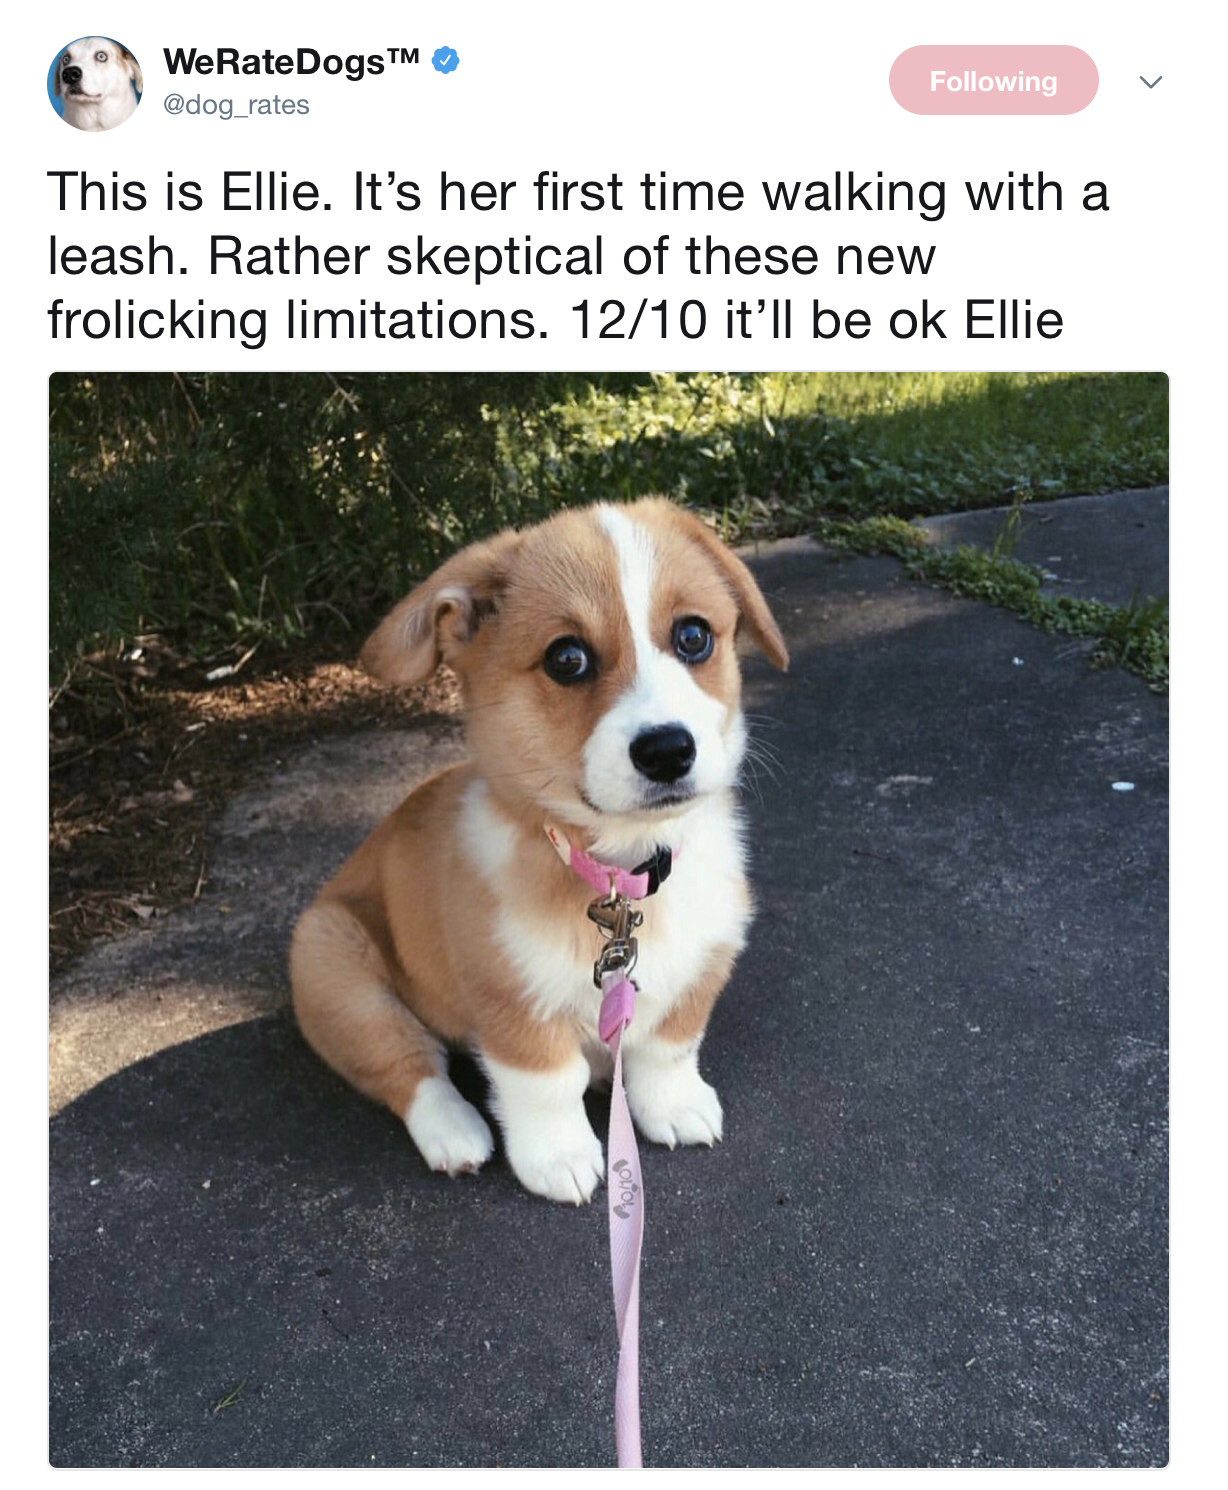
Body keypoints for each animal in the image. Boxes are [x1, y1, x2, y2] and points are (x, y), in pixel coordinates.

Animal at [291, 499, 788, 1203]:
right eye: (566, 658)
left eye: (694, 636)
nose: (668, 750)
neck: (619, 873)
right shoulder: (509, 996)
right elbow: (546, 1084)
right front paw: (560, 1157)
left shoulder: (702, 966)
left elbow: (669, 1045)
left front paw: (673, 1105)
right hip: (333, 967)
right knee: (408, 1062)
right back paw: (454, 1131)